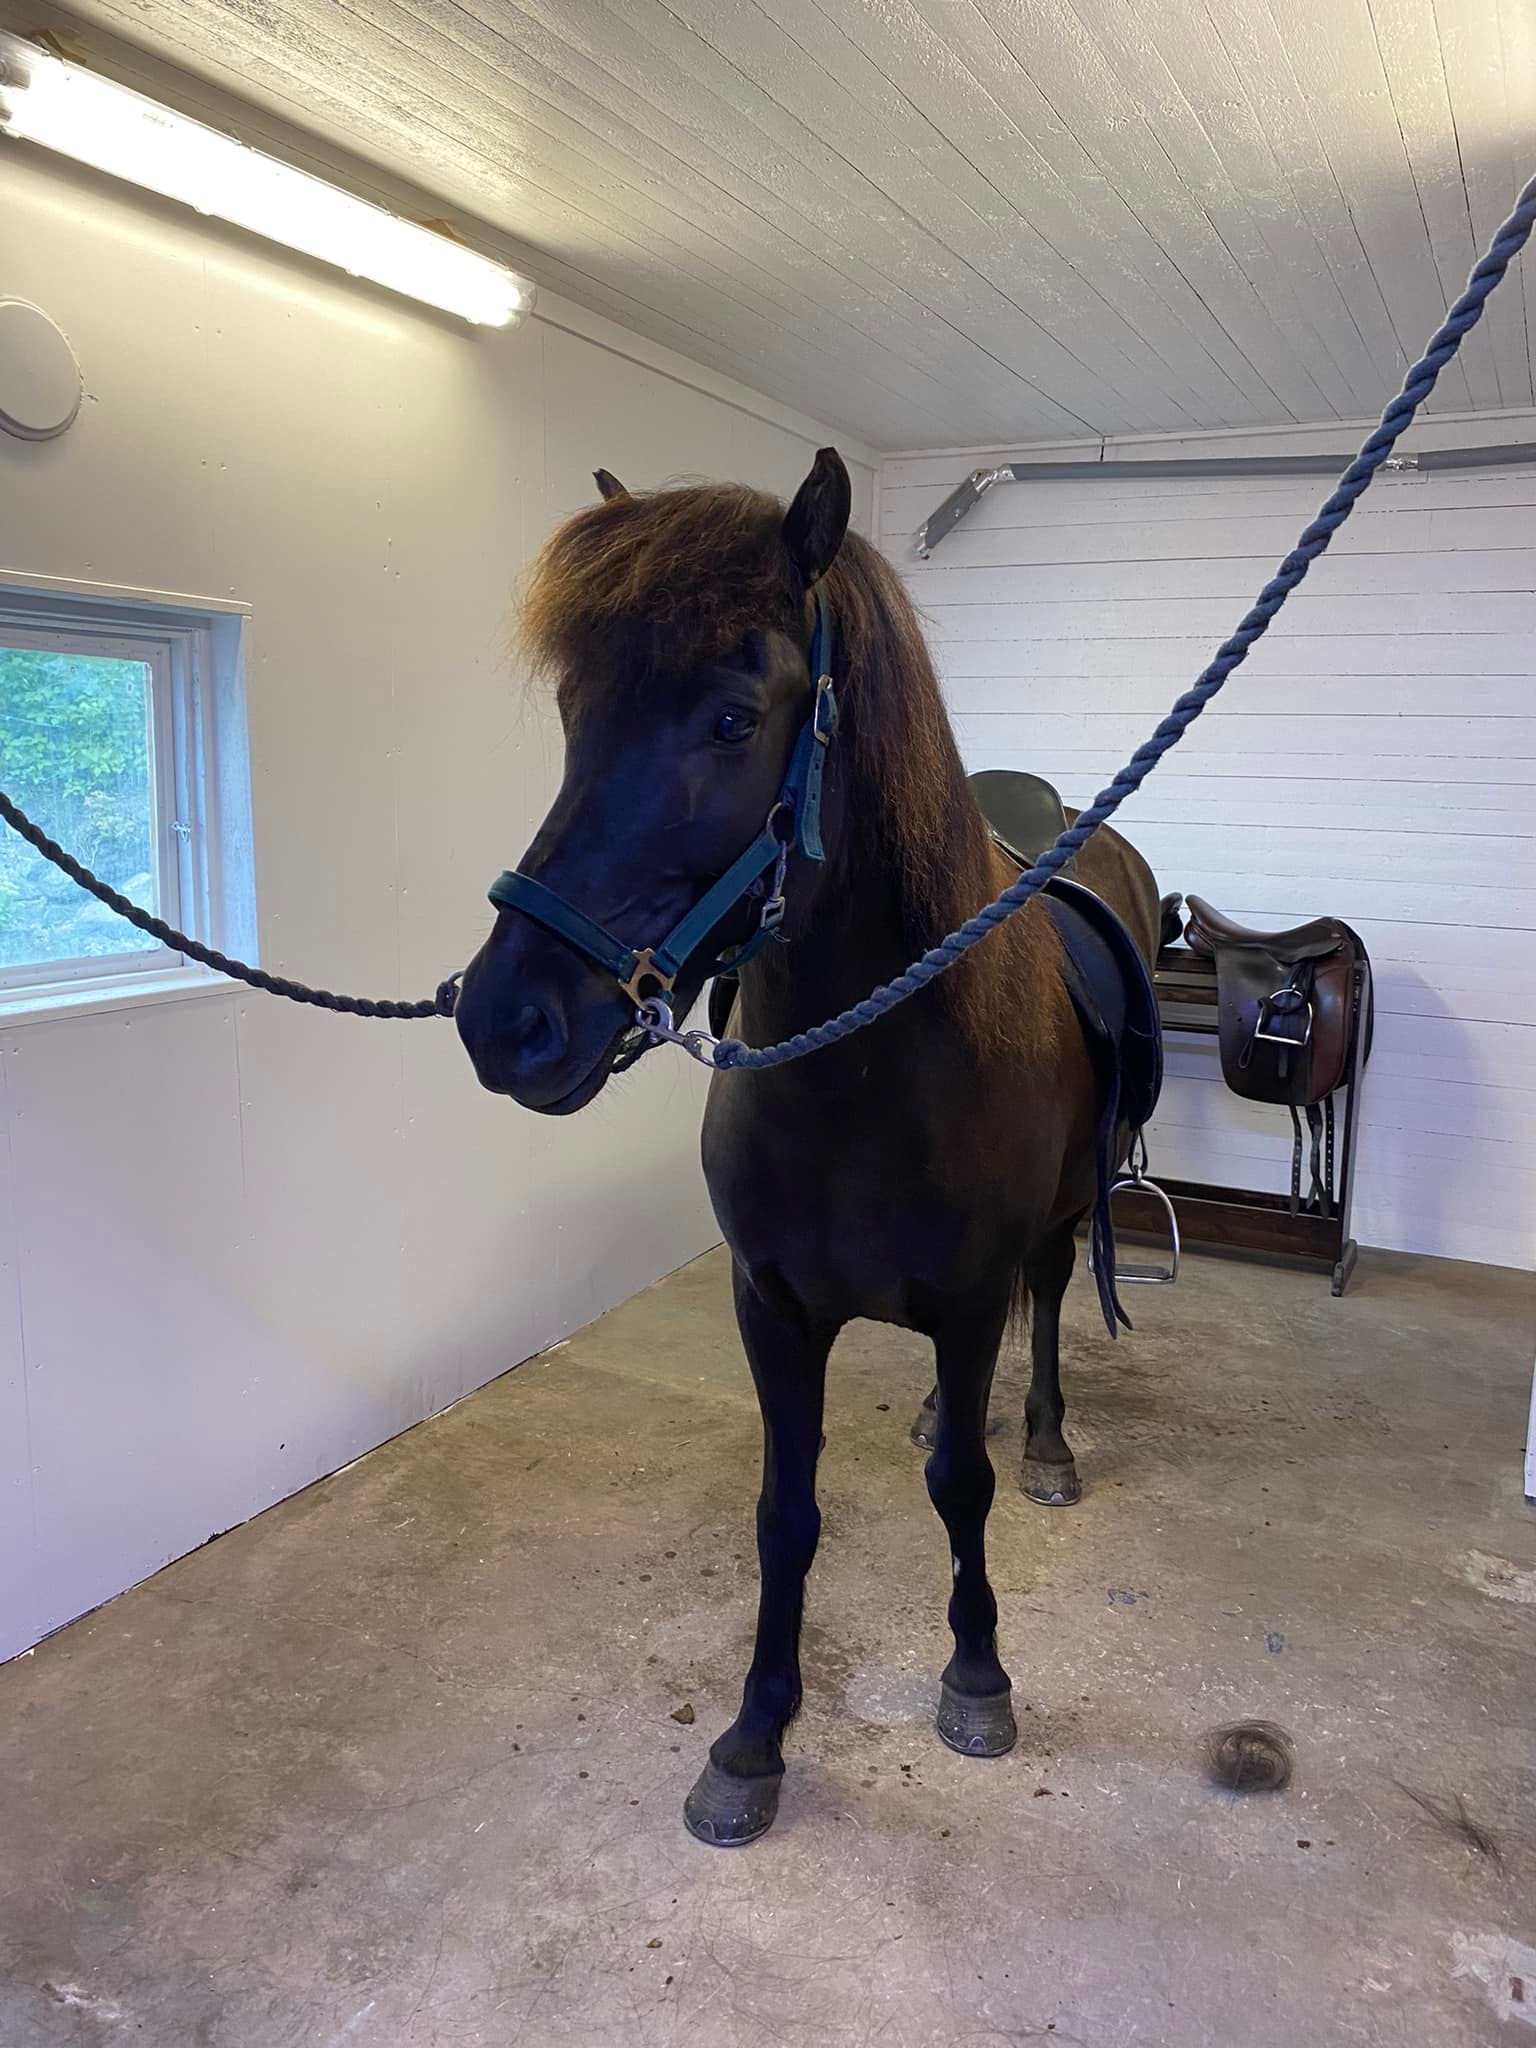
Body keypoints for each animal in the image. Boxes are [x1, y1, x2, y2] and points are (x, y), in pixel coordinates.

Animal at [454, 449, 1162, 1846]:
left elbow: (962, 1488)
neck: (872, 1075)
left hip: (1059, 1226)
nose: (505, 1021)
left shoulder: (967, 1298)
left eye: (734, 719)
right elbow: (786, 1513)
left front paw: (977, 1673)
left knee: (1052, 1303)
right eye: (573, 710)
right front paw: (754, 1735)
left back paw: (1049, 1439)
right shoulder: (771, 1307)